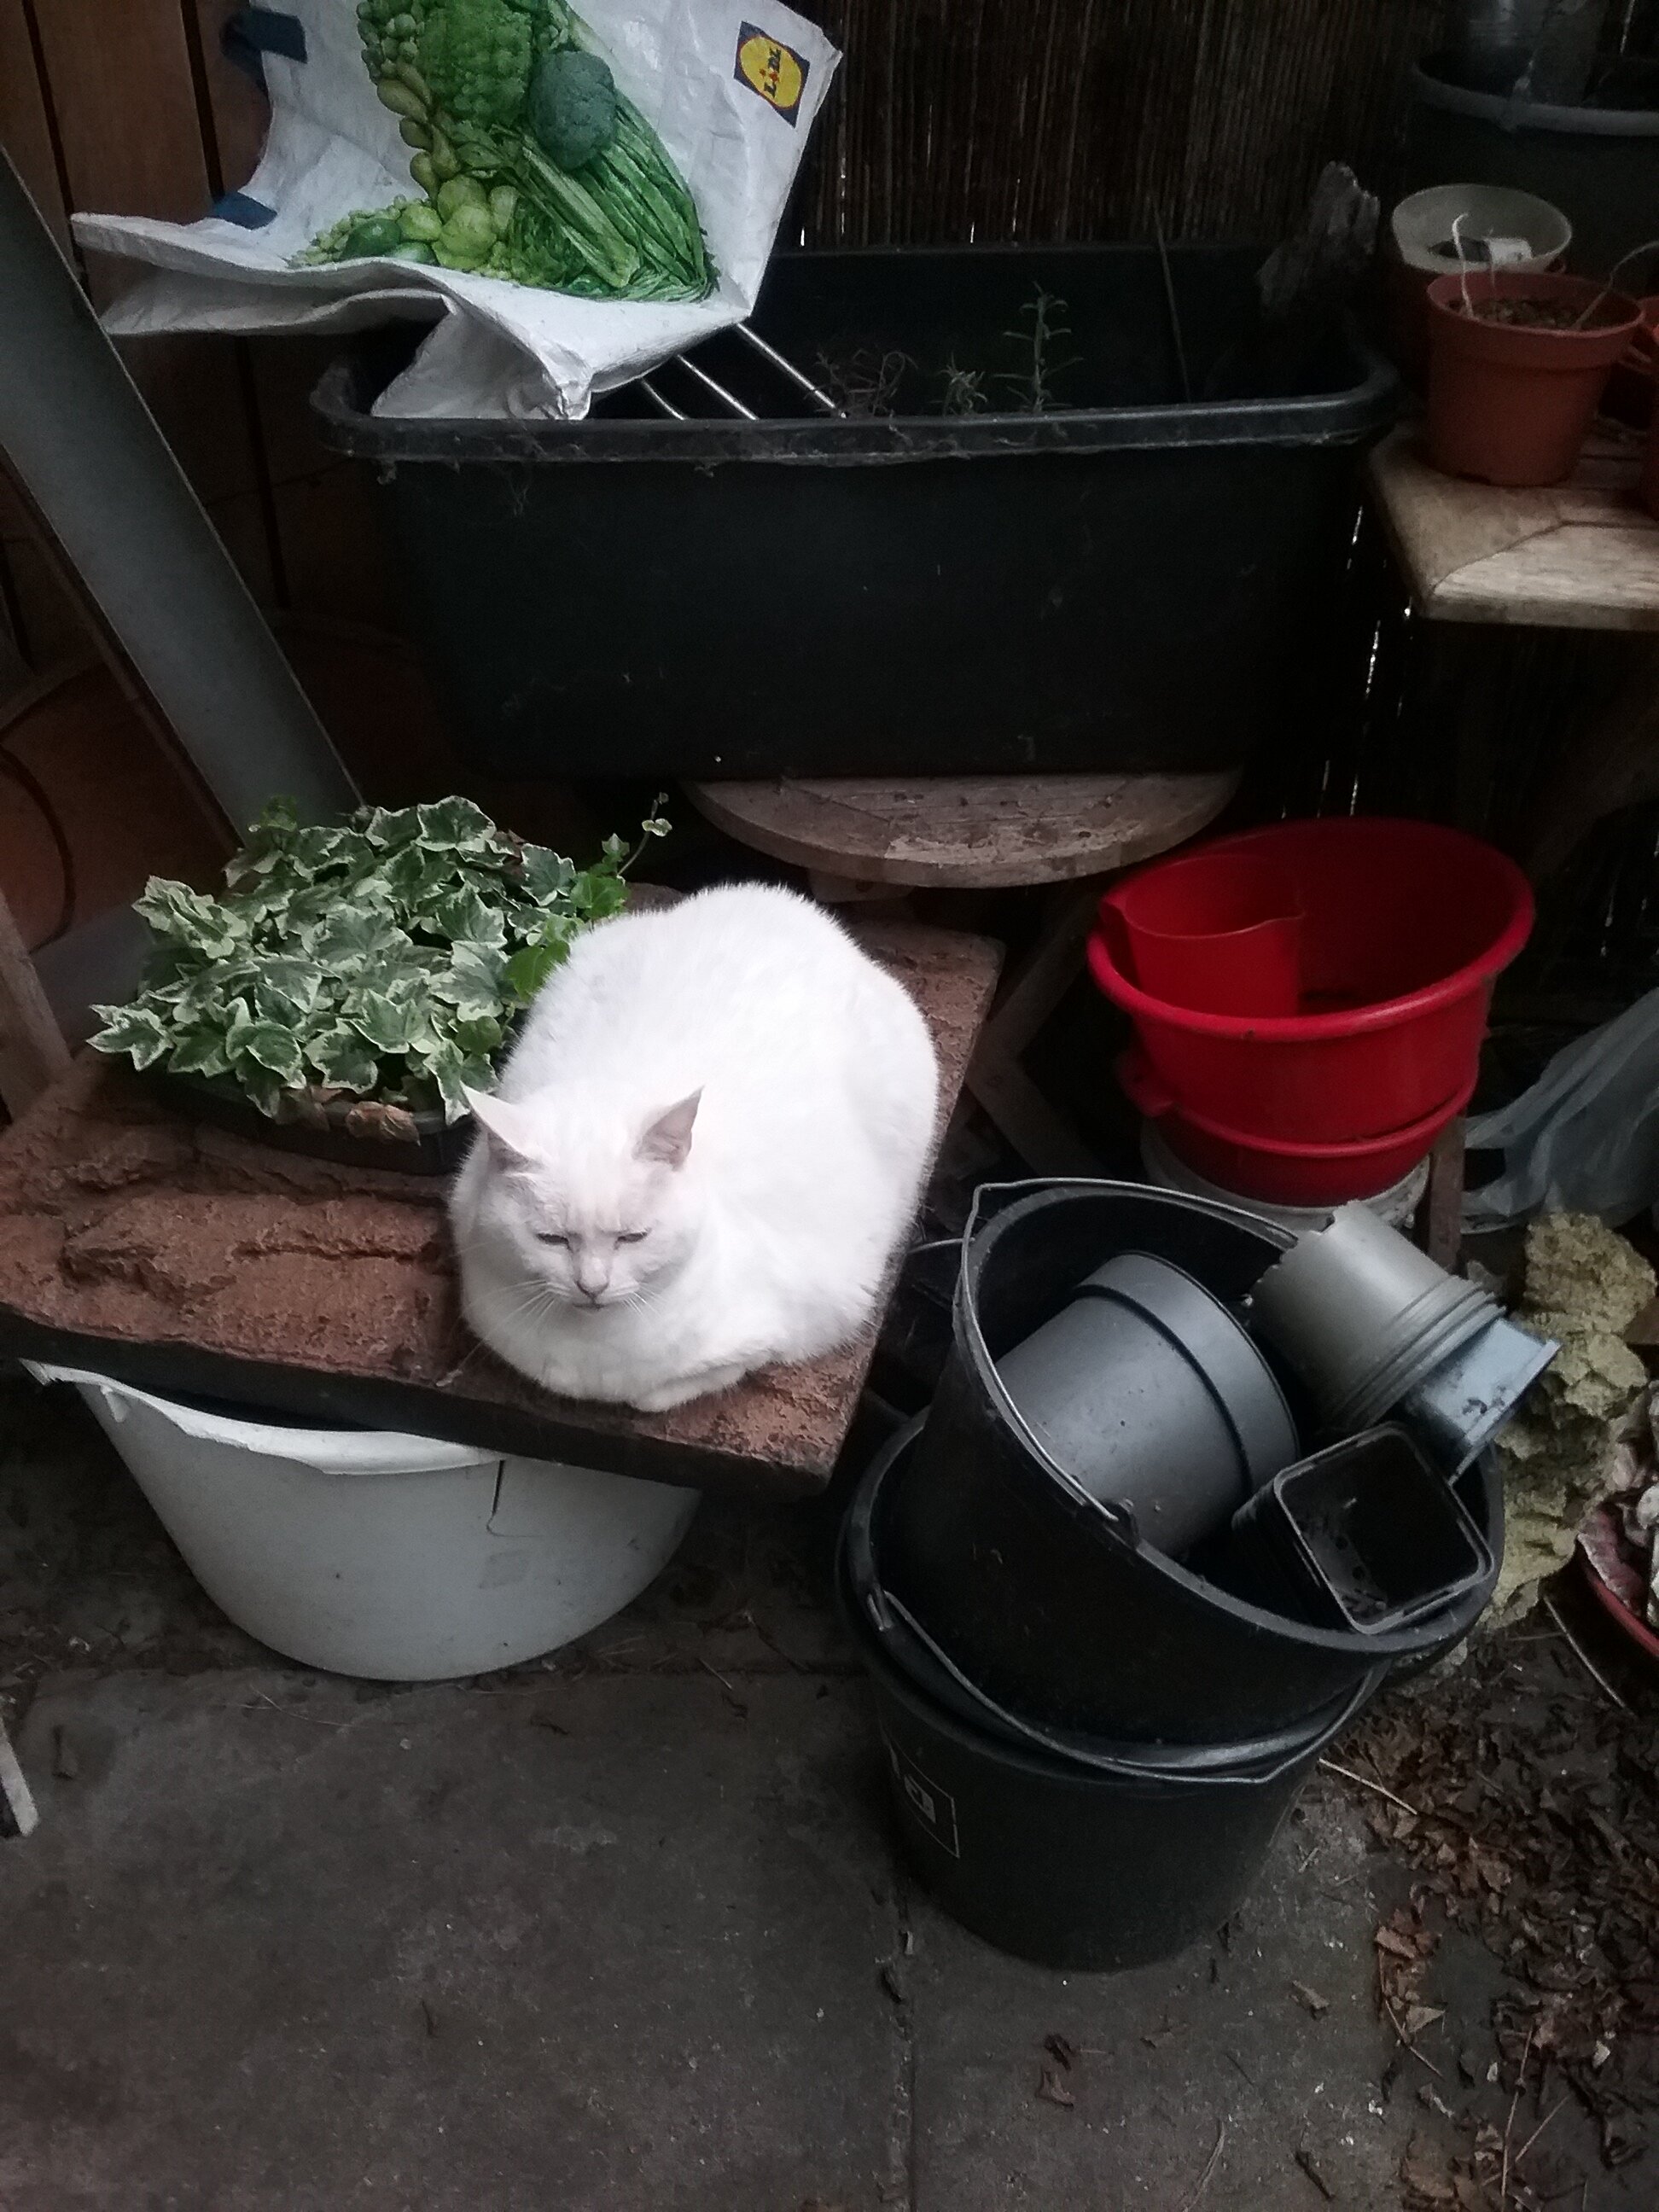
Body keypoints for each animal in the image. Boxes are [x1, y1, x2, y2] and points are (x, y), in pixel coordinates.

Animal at [448, 883, 940, 1413]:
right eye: (551, 1239)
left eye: (633, 1237)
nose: (592, 1286)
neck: (588, 1358)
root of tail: (772, 898)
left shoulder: (792, 1320)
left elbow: (660, 1394)